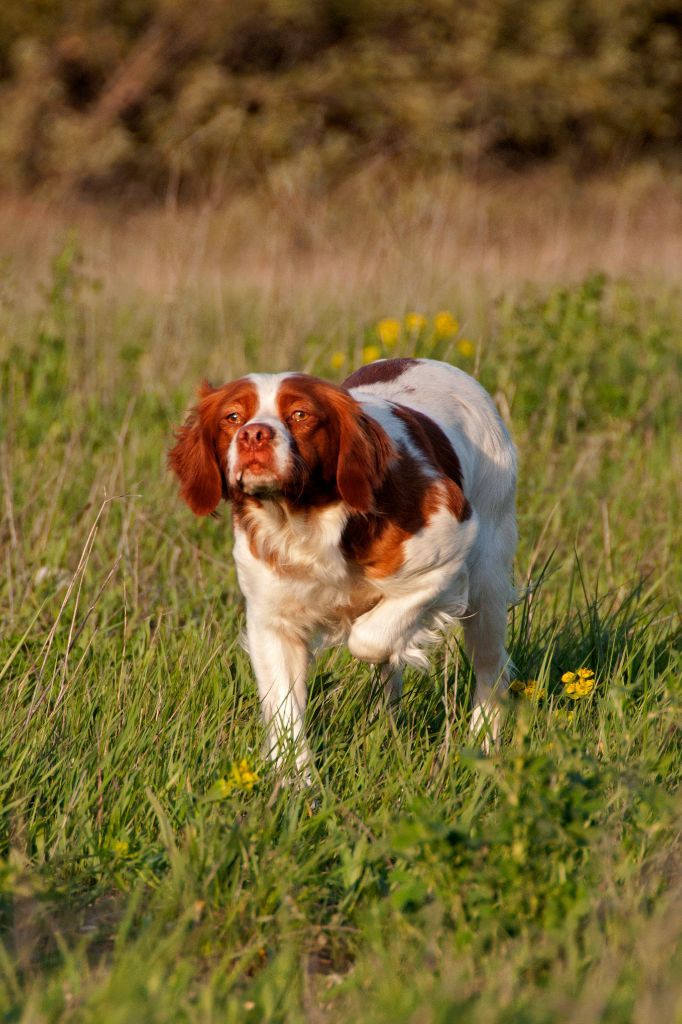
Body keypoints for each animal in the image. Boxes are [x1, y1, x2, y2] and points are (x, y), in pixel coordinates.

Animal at [169, 356, 516, 770]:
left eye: (300, 414)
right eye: (233, 416)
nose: (254, 434)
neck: (303, 520)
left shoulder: (452, 545)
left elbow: (368, 638)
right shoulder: (272, 622)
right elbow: (286, 715)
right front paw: (294, 780)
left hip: (487, 581)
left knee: (491, 669)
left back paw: (483, 743)